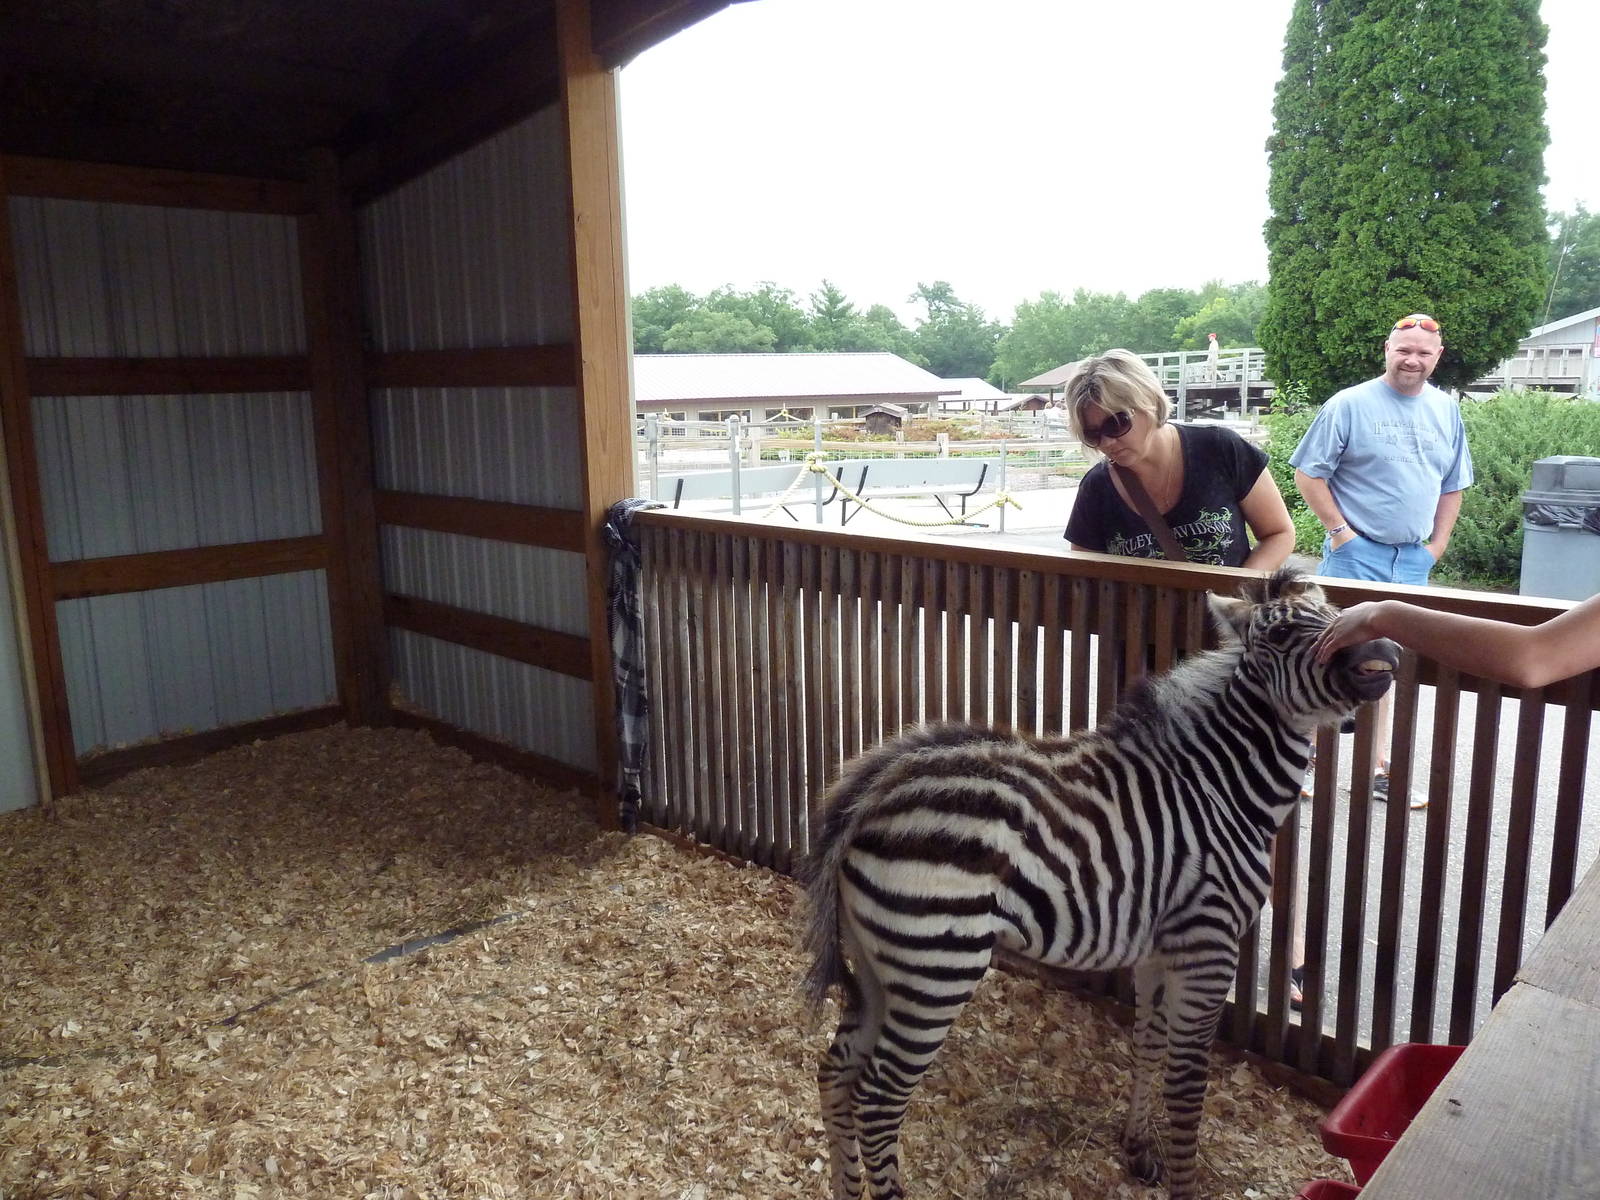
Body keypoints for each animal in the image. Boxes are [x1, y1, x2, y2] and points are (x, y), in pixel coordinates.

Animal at [799, 569, 1399, 1200]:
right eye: (1282, 635)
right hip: (938, 964)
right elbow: (1187, 1084)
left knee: (836, 1072)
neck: (1220, 787)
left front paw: (1138, 1150)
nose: (1385, 649)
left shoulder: (1159, 947)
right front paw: (1181, 1184)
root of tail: (872, 794)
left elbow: (1148, 1044)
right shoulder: (1208, 946)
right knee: (877, 1100)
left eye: (1333, 614)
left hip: (880, 967)